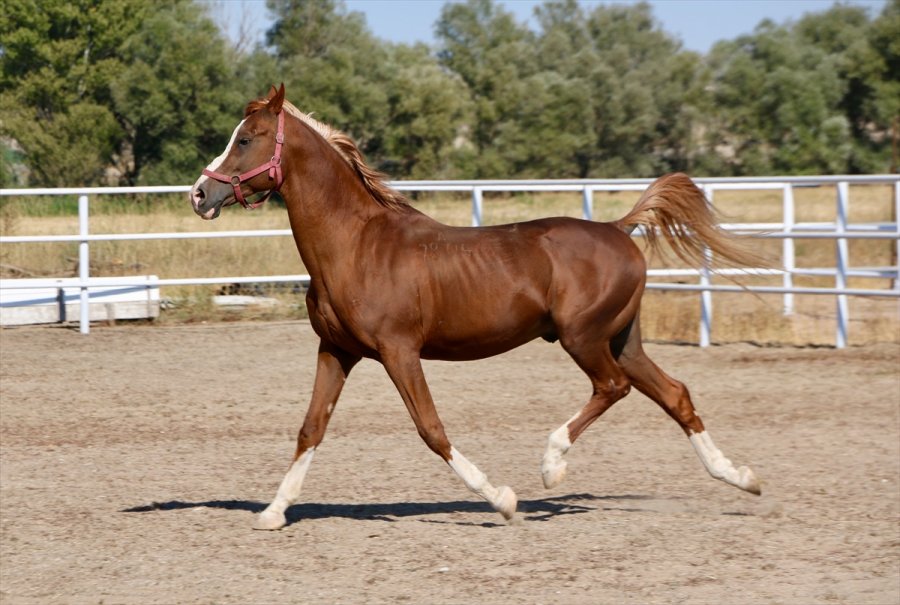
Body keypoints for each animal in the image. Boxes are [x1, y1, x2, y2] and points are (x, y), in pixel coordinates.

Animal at [190, 85, 760, 528]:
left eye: (246, 138)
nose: (199, 194)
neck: (355, 246)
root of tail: (618, 229)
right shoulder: (336, 350)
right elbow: (311, 427)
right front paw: (273, 512)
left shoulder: (399, 351)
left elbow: (431, 428)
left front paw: (503, 500)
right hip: (622, 340)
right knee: (675, 394)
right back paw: (742, 478)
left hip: (583, 338)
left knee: (613, 387)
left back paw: (552, 465)